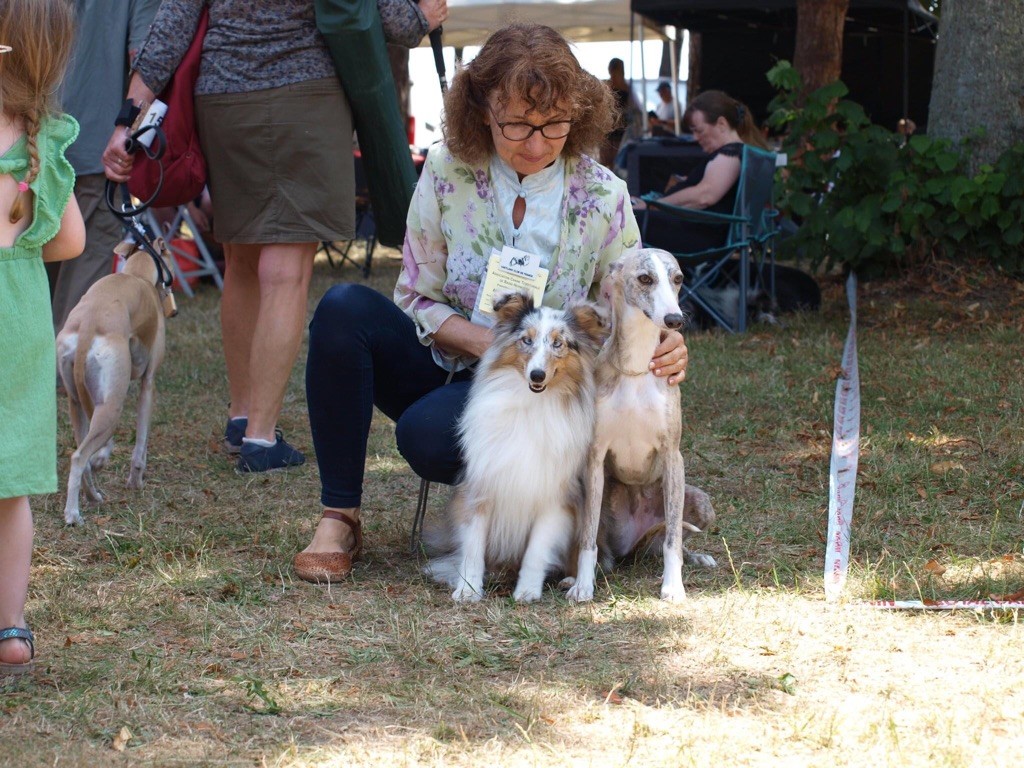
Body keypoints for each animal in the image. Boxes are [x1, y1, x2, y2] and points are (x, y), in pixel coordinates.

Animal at [57, 237, 176, 528]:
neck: (136, 276)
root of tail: (89, 323)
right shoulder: (148, 383)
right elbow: (141, 443)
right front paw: (136, 481)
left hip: (77, 402)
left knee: (83, 457)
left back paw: (93, 495)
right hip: (112, 405)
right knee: (79, 457)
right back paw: (73, 513)